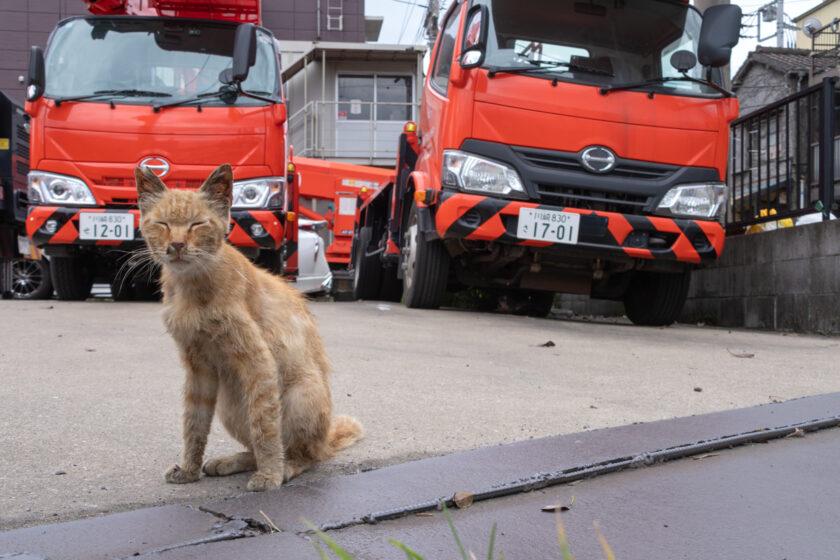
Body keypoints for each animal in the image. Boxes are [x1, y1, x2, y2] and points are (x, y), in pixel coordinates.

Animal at [134, 162, 360, 490]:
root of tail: (326, 440)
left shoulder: (258, 362)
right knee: (255, 447)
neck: (192, 288)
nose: (176, 245)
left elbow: (264, 426)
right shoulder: (197, 368)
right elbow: (194, 423)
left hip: (301, 393)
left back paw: (286, 466)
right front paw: (189, 470)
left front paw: (270, 476)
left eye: (197, 224)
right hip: (230, 405)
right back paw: (230, 462)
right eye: (162, 223)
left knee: (305, 454)